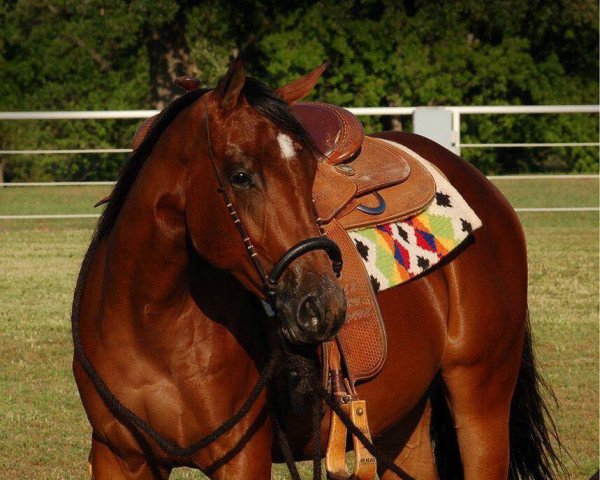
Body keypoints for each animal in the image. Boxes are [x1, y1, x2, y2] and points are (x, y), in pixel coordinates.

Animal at [71, 61, 564, 480]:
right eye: (240, 175)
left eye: (311, 173)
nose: (323, 305)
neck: (149, 325)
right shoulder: (118, 457)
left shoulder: (242, 459)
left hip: (481, 398)